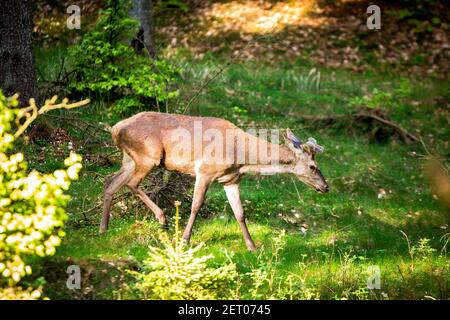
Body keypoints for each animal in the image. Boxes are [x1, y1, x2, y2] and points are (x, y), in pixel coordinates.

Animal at [100, 111, 328, 251]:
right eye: (312, 166)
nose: (325, 187)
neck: (241, 158)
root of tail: (115, 128)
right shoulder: (204, 171)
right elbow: (195, 205)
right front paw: (184, 240)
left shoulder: (230, 180)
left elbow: (240, 213)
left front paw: (252, 246)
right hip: (150, 155)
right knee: (132, 184)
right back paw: (162, 219)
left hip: (130, 159)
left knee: (110, 184)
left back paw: (103, 229)